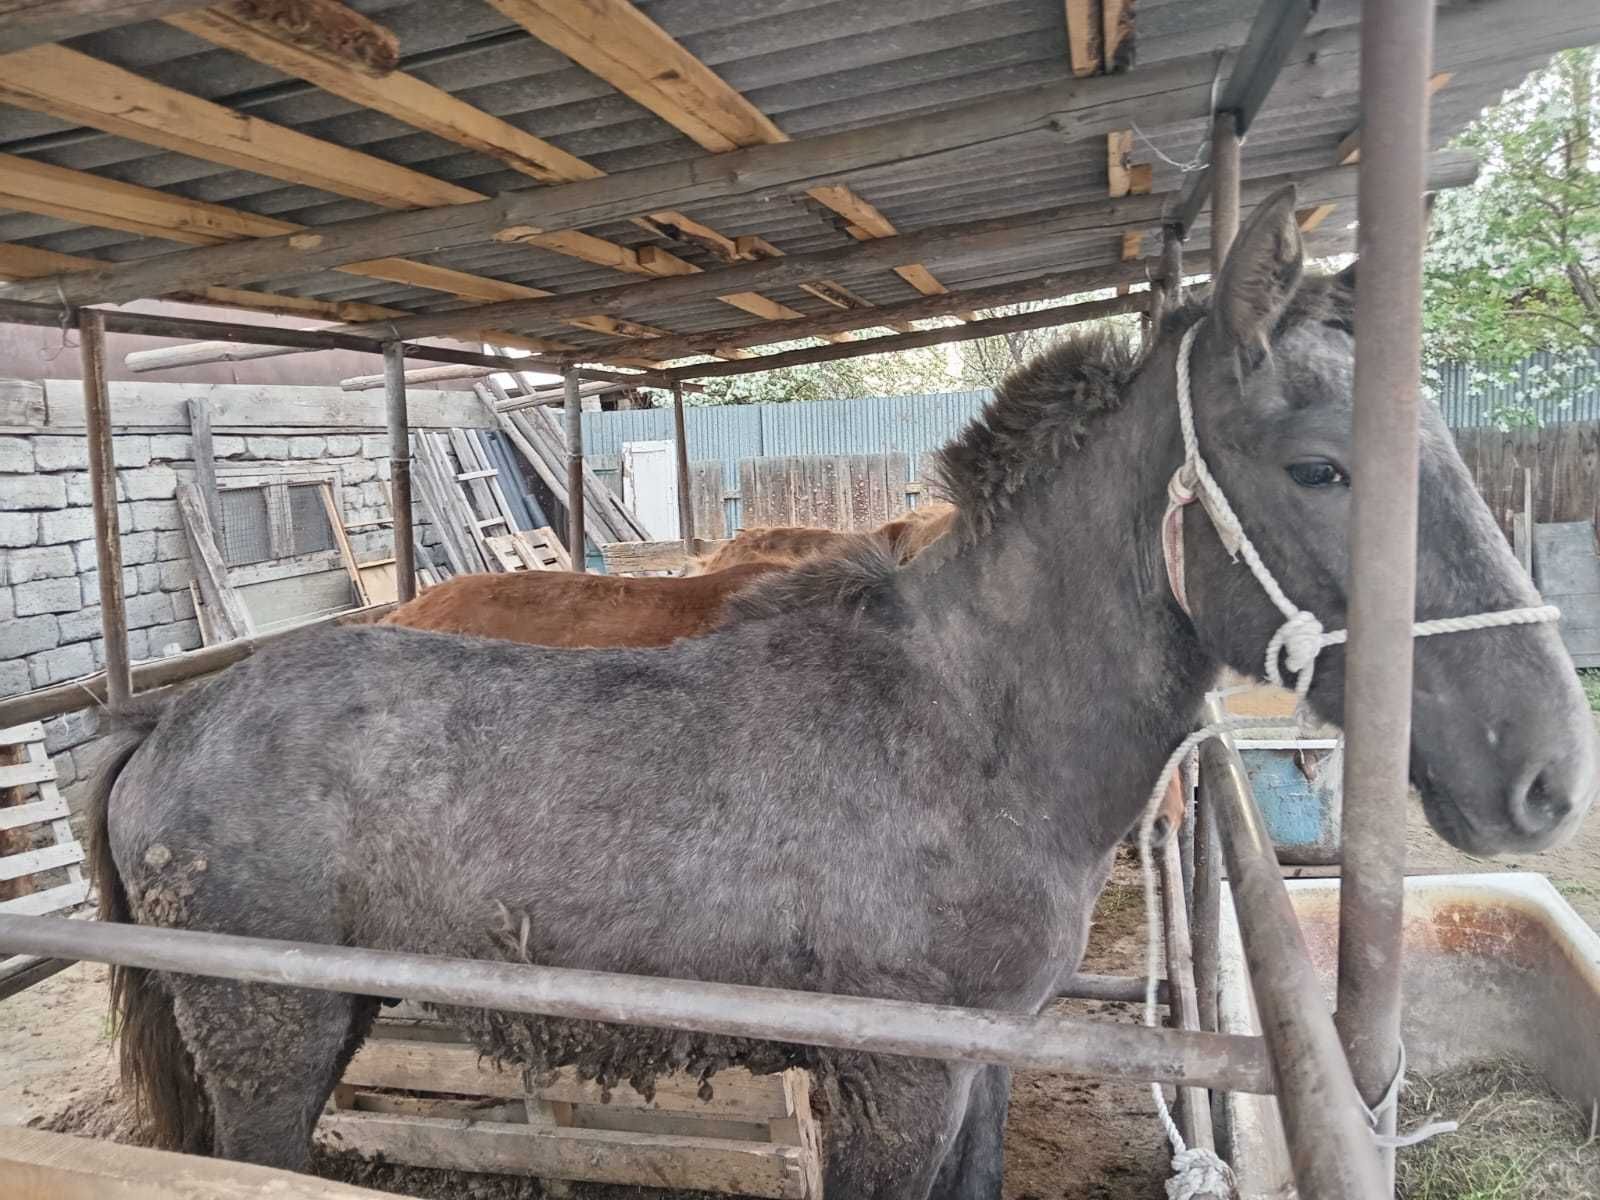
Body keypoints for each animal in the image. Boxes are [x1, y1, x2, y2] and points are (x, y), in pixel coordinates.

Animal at [90, 183, 1600, 1196]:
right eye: (1320, 468)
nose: (1541, 773)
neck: (970, 733)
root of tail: (172, 726)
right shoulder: (896, 1082)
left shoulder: (979, 1065)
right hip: (273, 1034)